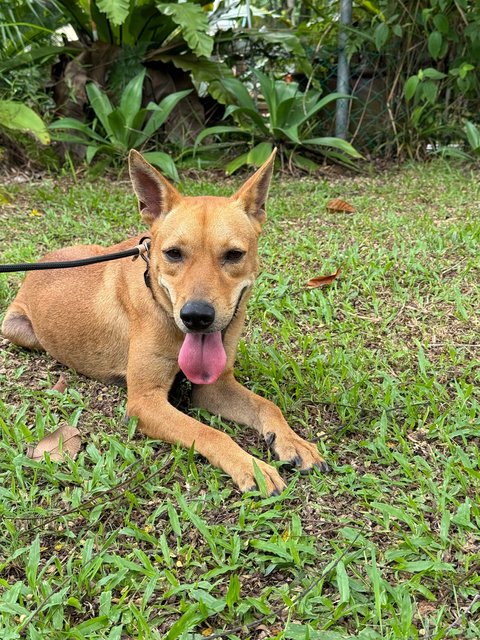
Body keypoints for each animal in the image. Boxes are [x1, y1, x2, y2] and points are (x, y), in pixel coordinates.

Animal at [0, 151, 326, 496]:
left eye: (234, 254)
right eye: (173, 253)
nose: (196, 316)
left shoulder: (215, 386)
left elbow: (268, 406)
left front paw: (292, 441)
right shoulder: (145, 402)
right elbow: (209, 432)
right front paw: (250, 465)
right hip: (18, 331)